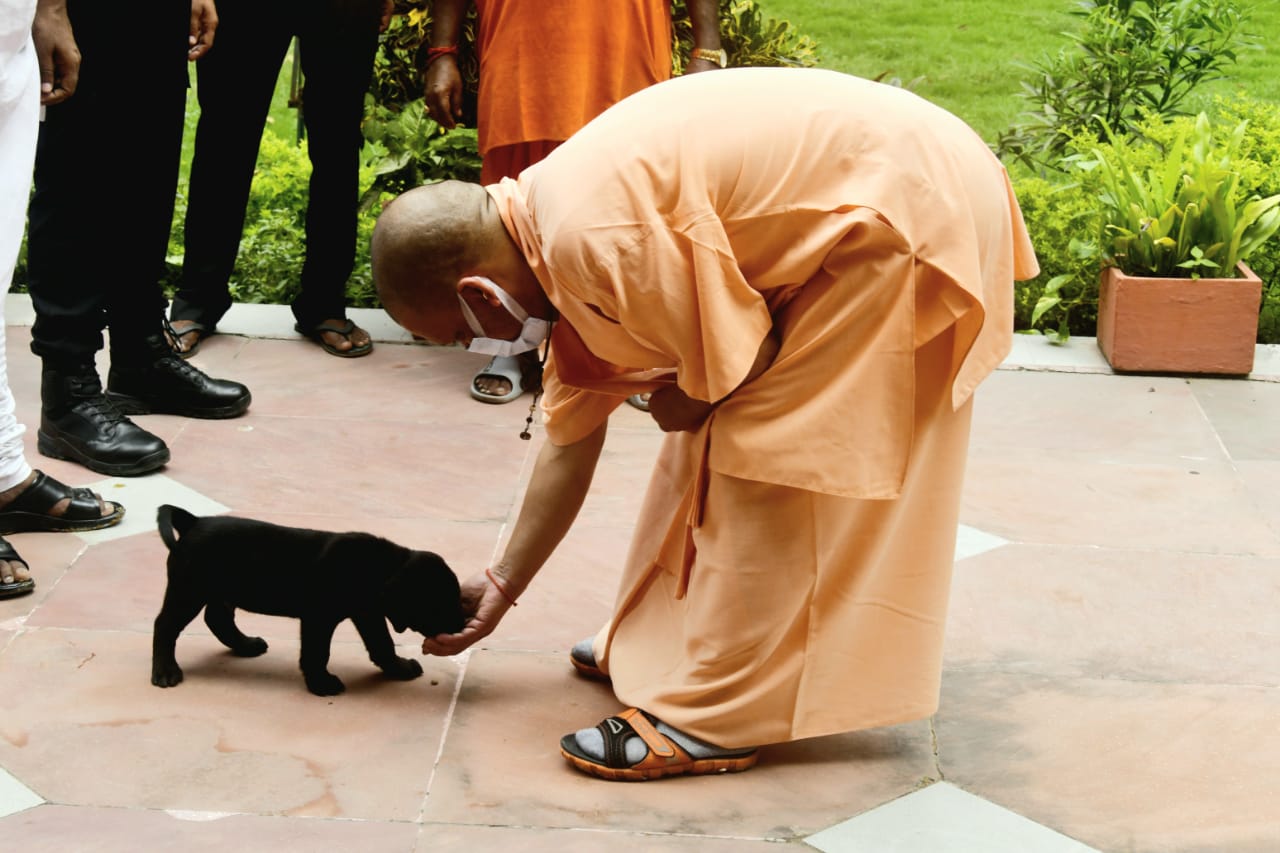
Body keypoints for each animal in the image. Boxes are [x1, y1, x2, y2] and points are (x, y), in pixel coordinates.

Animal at [152, 504, 468, 691]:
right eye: (439, 604)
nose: (462, 624)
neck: (378, 569)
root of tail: (192, 522)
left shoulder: (367, 613)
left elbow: (382, 644)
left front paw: (398, 668)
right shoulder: (320, 618)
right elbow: (317, 653)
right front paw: (321, 683)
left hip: (218, 592)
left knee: (217, 618)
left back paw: (247, 645)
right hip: (188, 590)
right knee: (165, 625)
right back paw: (166, 671)